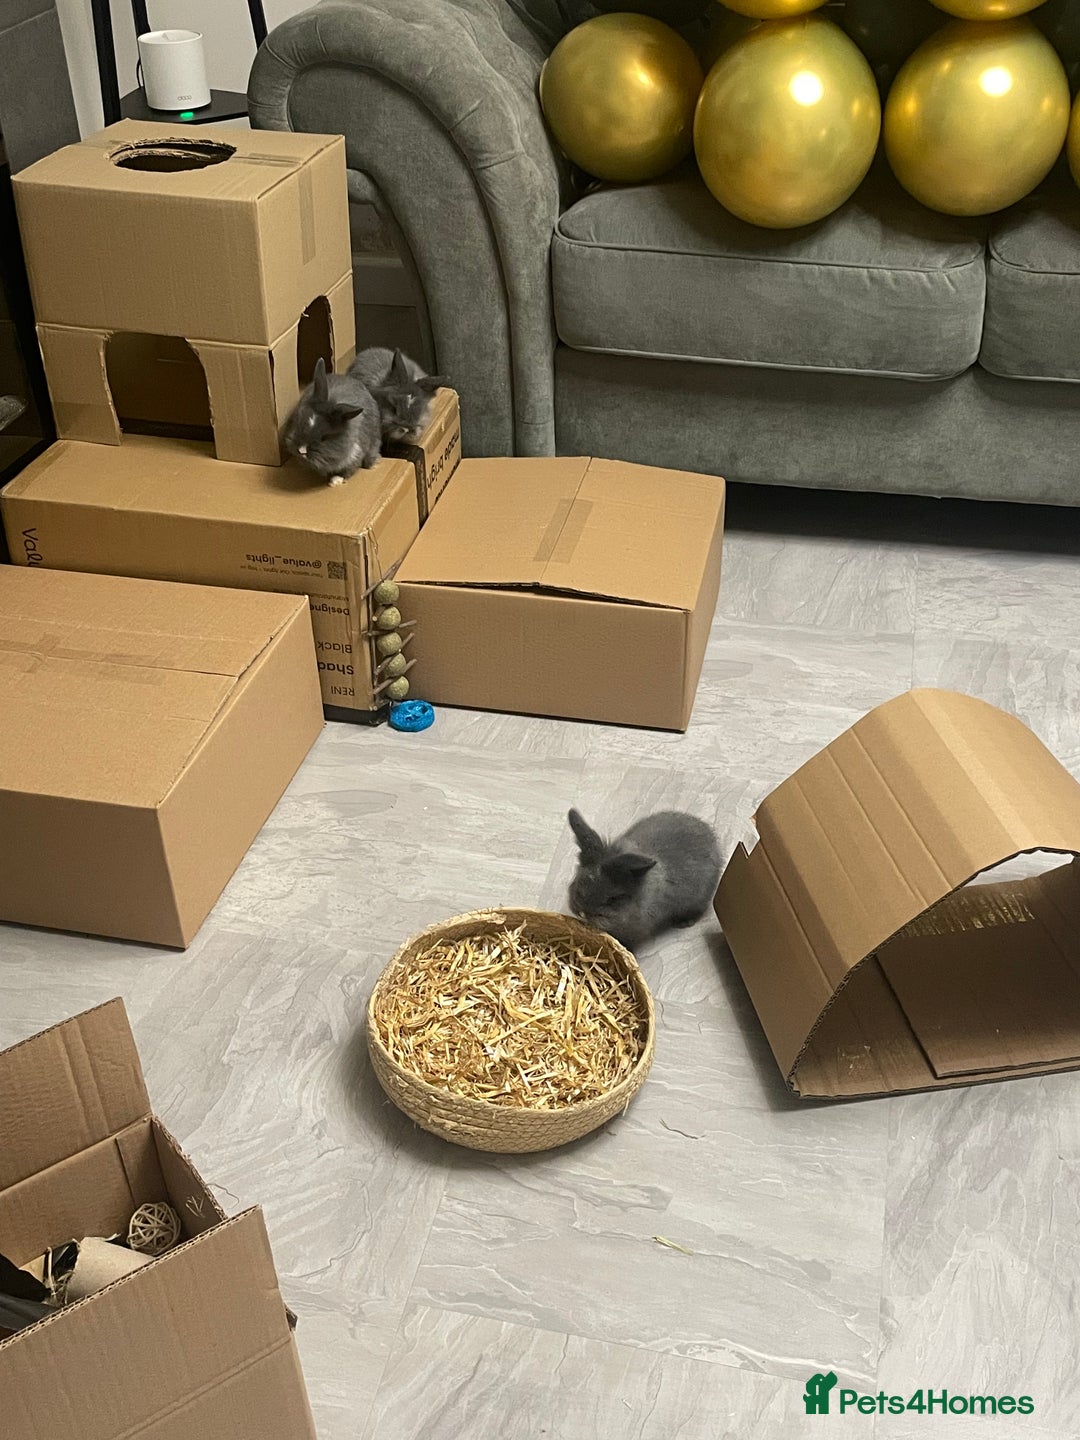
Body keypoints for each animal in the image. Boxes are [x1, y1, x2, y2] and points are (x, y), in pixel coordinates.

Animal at [283, 357, 382, 485]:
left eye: (324, 438)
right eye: (298, 423)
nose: (302, 450)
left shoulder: (355, 453)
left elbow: (348, 470)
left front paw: (335, 481)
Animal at [566, 808, 722, 953]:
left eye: (613, 898)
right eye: (580, 882)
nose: (583, 913)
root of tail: (711, 836)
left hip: (699, 900)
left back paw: (683, 923)